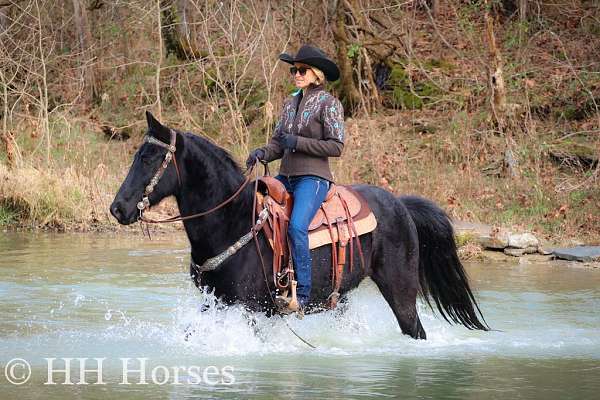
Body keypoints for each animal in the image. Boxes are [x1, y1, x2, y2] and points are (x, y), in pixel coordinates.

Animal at [111, 111, 488, 338]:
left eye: (149, 158)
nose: (117, 208)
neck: (232, 223)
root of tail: (400, 205)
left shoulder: (249, 310)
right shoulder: (213, 304)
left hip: (401, 291)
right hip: (340, 297)